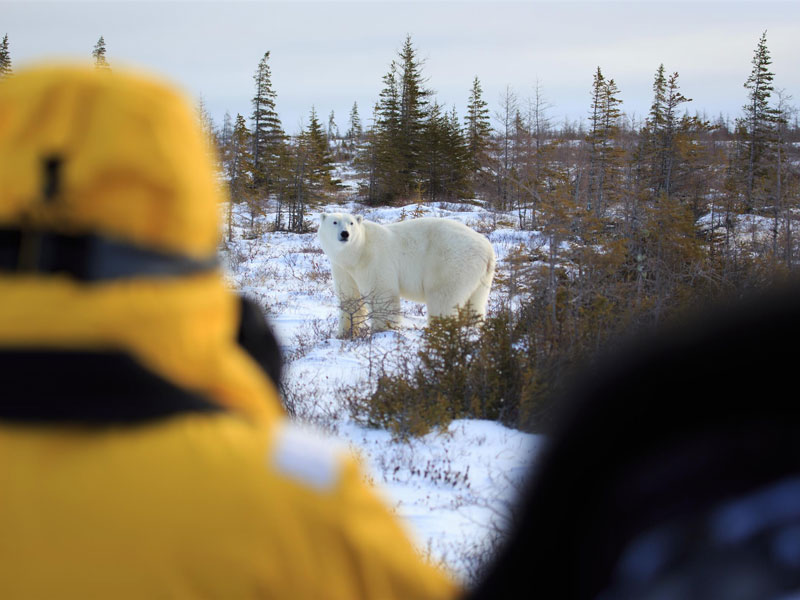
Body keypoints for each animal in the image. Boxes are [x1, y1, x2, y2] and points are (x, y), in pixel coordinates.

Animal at [318, 213, 494, 338]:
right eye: (334, 222)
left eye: (351, 223)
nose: (345, 234)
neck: (357, 252)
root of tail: (488, 248)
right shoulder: (342, 268)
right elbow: (349, 298)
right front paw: (344, 333)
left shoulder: (375, 259)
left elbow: (381, 294)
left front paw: (382, 330)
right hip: (481, 277)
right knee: (475, 303)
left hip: (451, 262)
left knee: (443, 296)